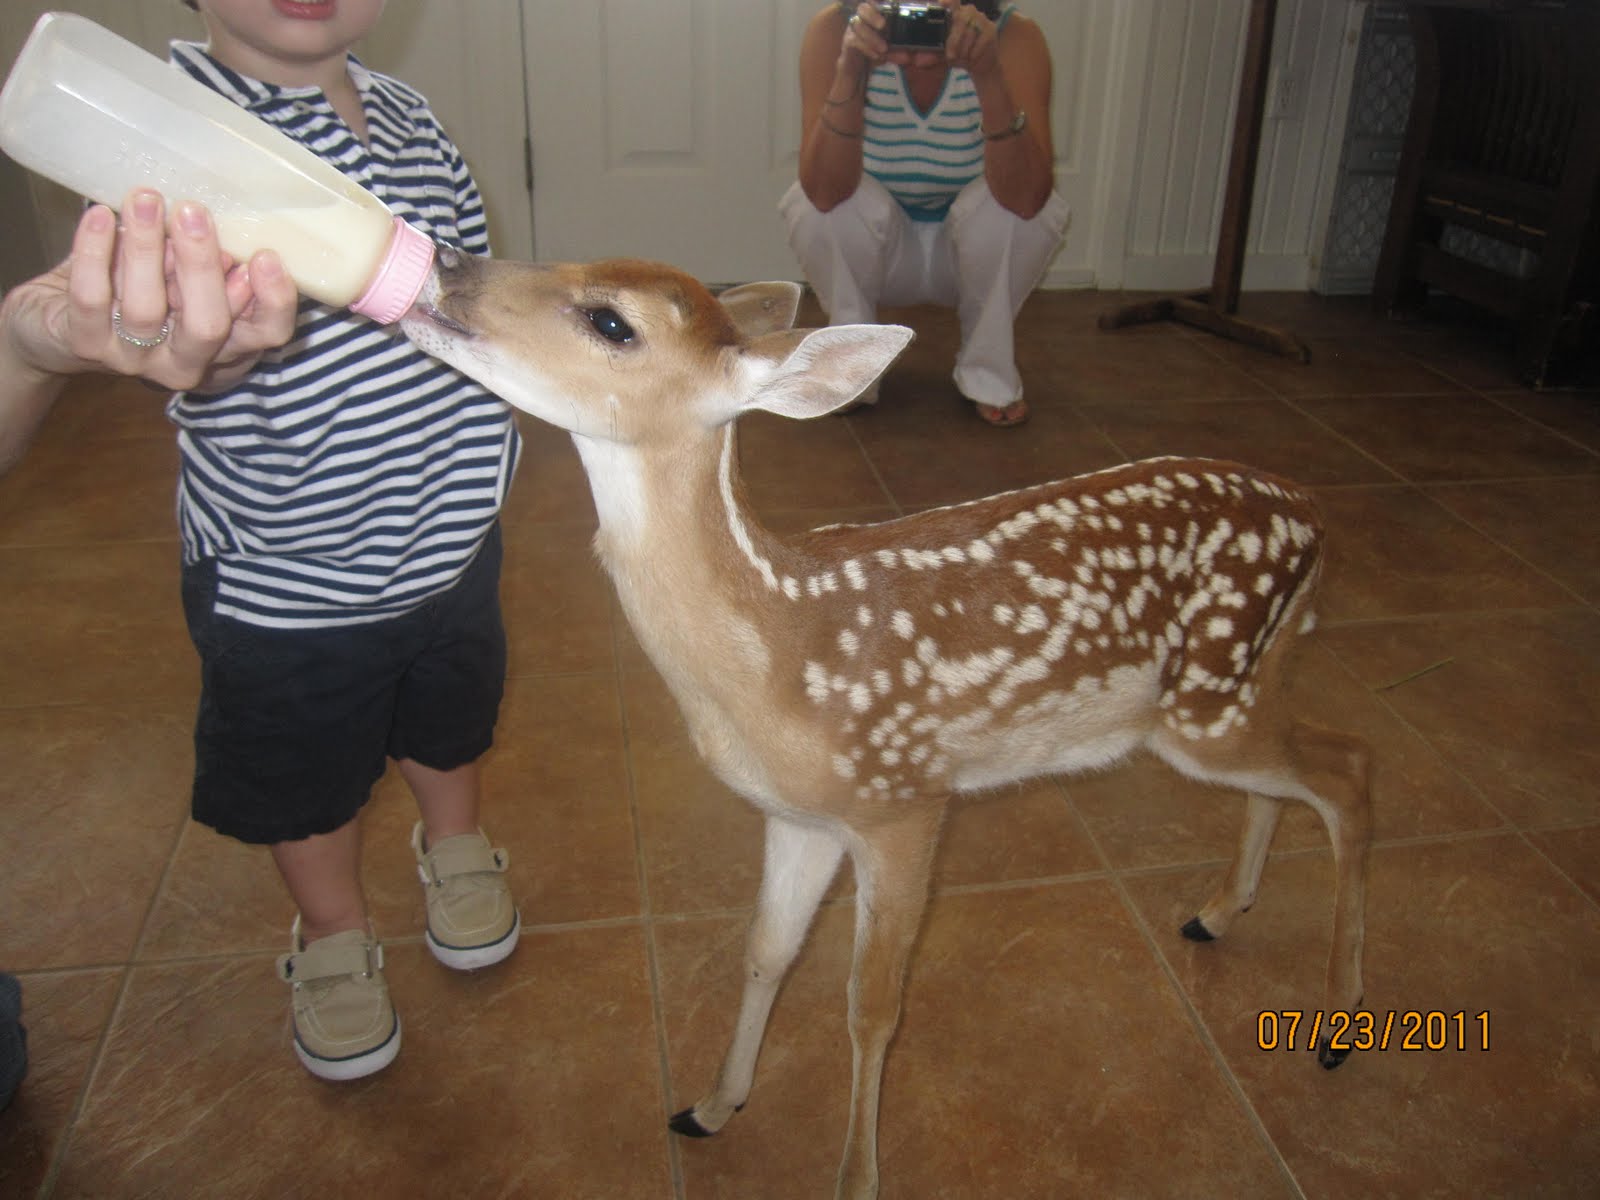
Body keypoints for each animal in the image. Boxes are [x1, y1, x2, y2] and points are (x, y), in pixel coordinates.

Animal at [400, 251, 1372, 1200]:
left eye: (611, 321)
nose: (445, 264)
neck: (777, 658)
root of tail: (1317, 515)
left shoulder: (905, 800)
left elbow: (872, 1007)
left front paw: (856, 1175)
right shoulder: (798, 816)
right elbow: (766, 952)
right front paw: (712, 1106)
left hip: (1206, 703)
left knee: (1349, 766)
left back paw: (1337, 1026)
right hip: (1235, 691)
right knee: (1293, 779)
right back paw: (1219, 912)